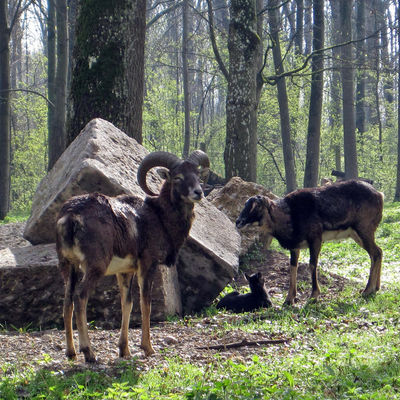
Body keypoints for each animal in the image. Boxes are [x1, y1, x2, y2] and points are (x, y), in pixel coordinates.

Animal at [57, 150, 211, 362]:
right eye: (178, 177)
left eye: (197, 175)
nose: (198, 192)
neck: (160, 217)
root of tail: (71, 217)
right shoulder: (148, 265)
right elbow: (145, 304)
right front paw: (148, 348)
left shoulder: (124, 272)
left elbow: (127, 304)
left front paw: (125, 351)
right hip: (95, 267)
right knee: (80, 297)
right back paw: (89, 353)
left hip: (68, 266)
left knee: (68, 301)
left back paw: (71, 352)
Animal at [236, 180, 382, 304]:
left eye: (256, 206)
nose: (238, 222)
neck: (290, 216)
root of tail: (379, 195)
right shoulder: (295, 247)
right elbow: (292, 267)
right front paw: (288, 300)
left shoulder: (315, 238)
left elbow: (312, 264)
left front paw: (313, 296)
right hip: (356, 234)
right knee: (378, 252)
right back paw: (375, 288)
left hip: (364, 229)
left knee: (375, 253)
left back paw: (367, 291)